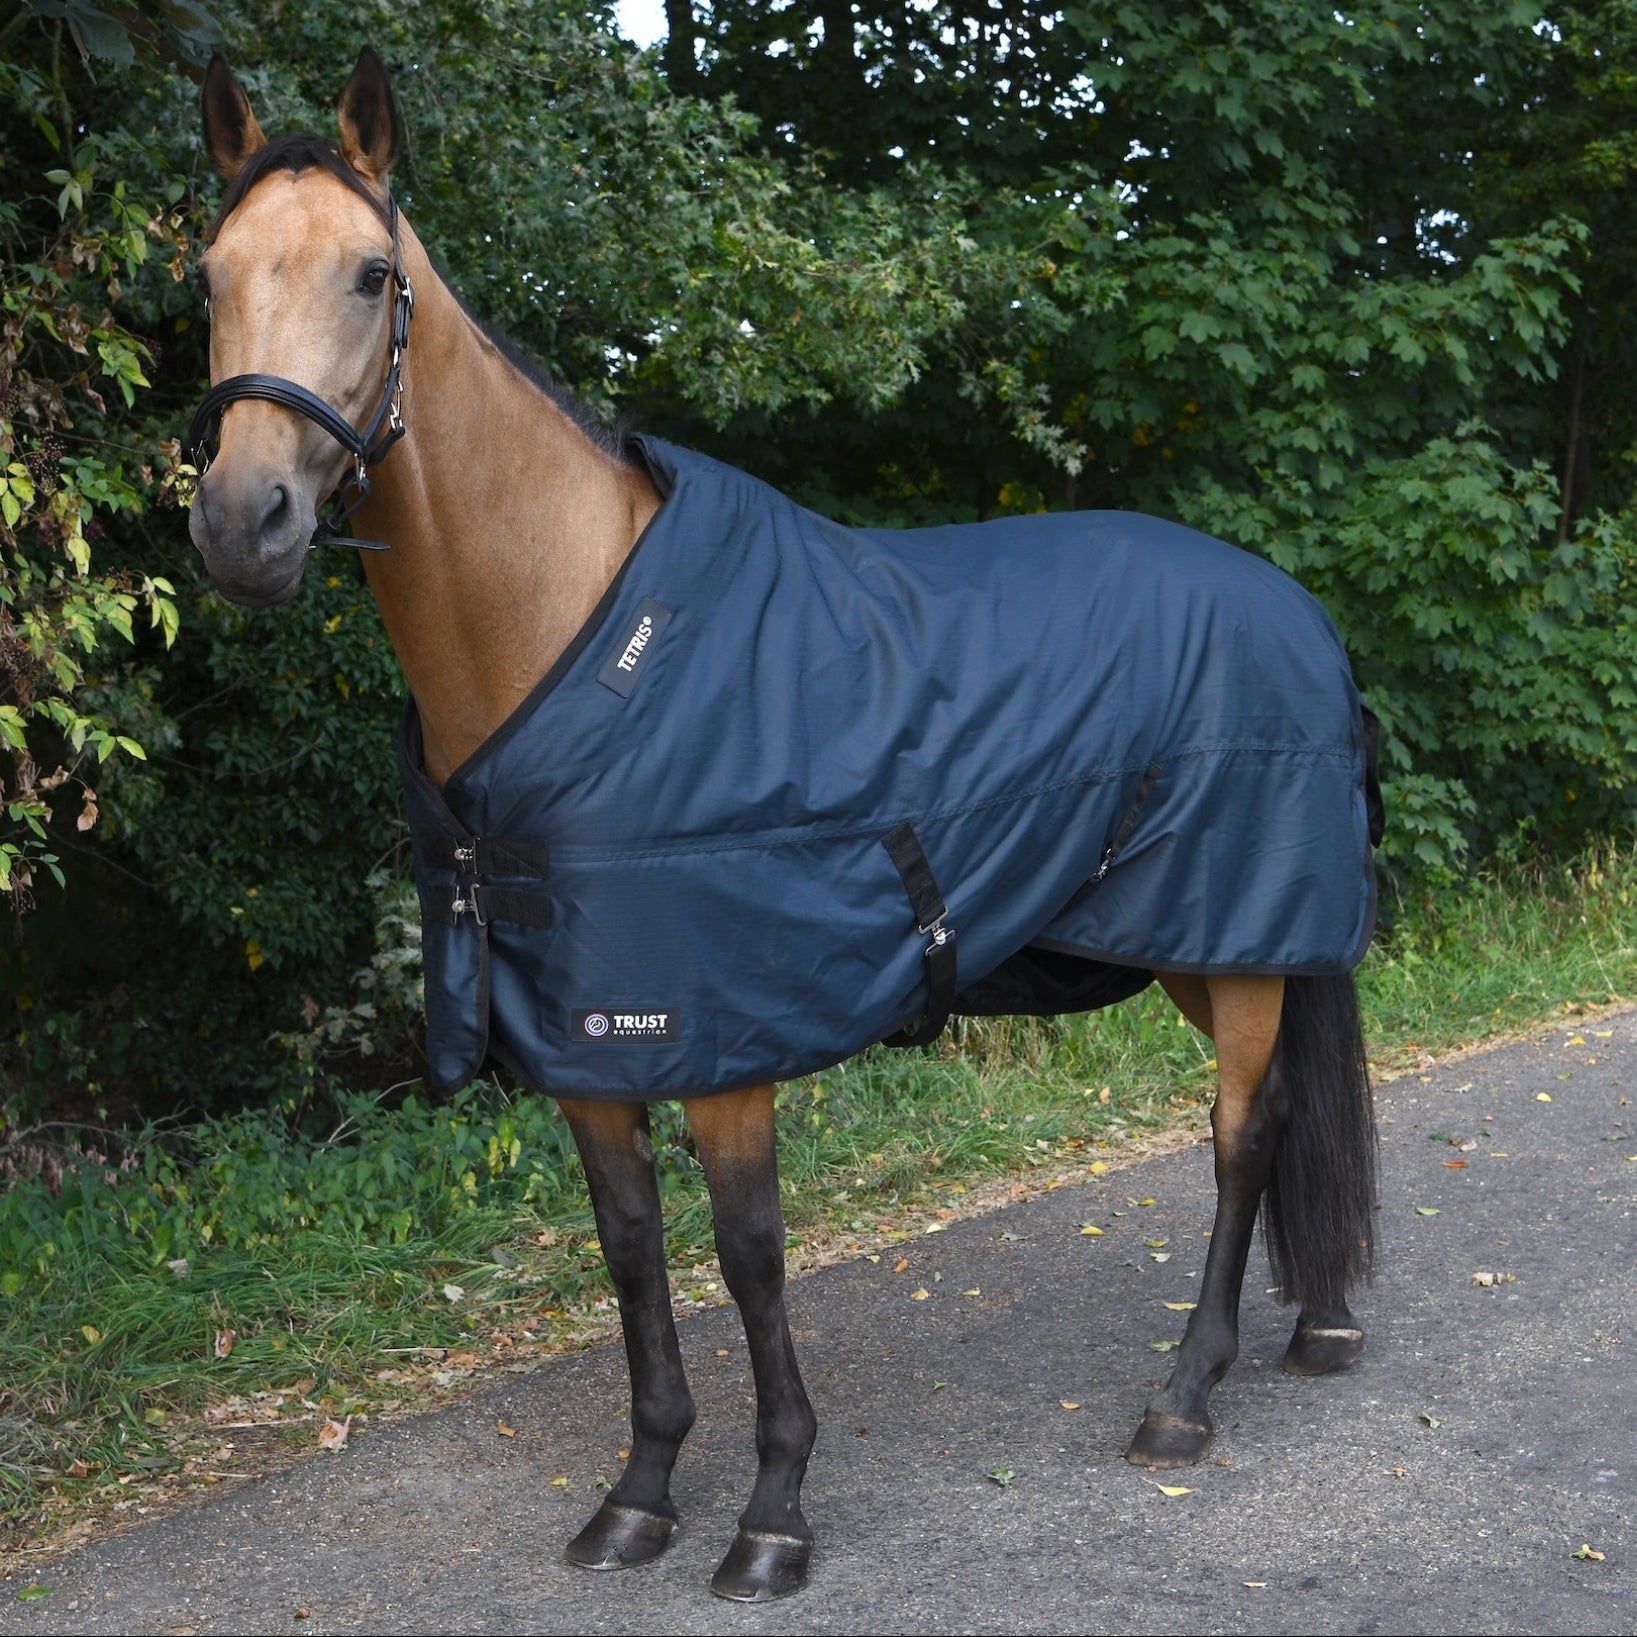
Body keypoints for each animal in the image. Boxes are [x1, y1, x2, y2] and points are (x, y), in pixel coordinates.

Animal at [186, 47, 1380, 1603]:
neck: (580, 627)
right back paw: (1313, 1325)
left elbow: (748, 1255)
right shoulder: (592, 1046)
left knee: (1242, 1134)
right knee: (1285, 1108)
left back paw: (1183, 1394)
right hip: (1204, 943)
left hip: (1232, 942)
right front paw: (637, 1493)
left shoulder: (722, 1041)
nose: (243, 522)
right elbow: (632, 1251)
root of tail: (1291, 605)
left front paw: (771, 1514)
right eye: (206, 276)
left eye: (373, 275)